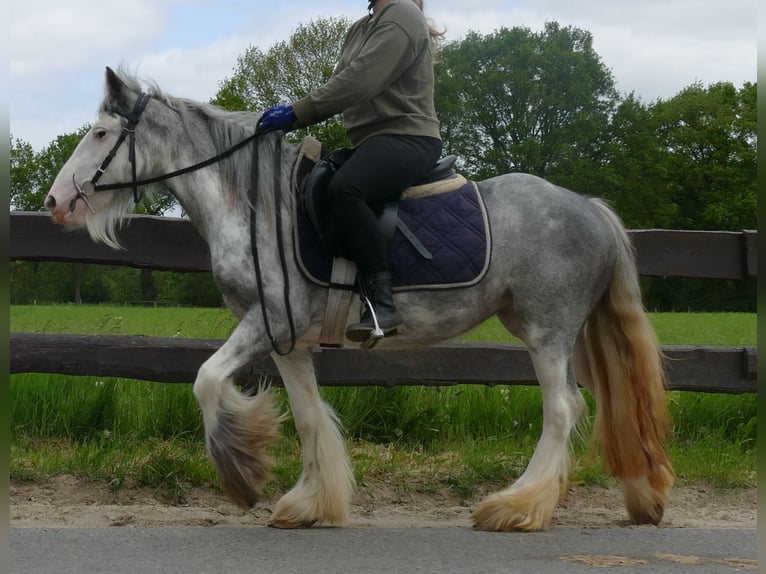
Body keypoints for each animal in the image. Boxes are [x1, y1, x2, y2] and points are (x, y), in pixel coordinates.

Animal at [45, 68, 676, 536]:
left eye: (100, 133)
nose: (56, 203)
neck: (256, 206)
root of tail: (590, 206)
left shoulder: (266, 321)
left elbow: (205, 380)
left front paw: (242, 473)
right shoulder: (286, 338)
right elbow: (307, 415)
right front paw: (309, 503)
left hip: (548, 331)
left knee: (563, 408)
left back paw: (517, 508)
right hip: (562, 330)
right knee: (607, 404)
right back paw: (638, 498)